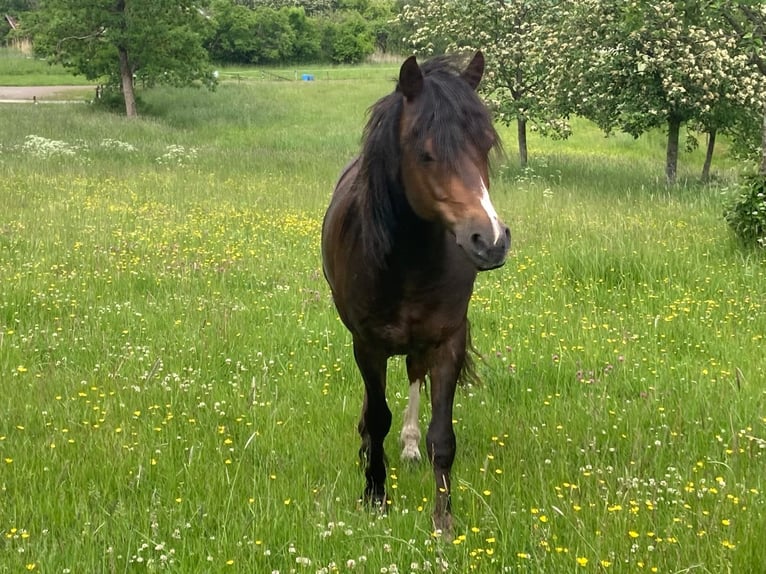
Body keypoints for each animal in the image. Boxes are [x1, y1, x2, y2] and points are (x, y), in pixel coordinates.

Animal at [320, 51, 512, 536]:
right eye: (425, 154)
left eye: (485, 145)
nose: (490, 240)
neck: (407, 261)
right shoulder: (366, 343)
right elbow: (377, 417)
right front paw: (374, 496)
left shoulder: (448, 341)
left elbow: (441, 436)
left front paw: (443, 519)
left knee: (412, 375)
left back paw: (406, 447)